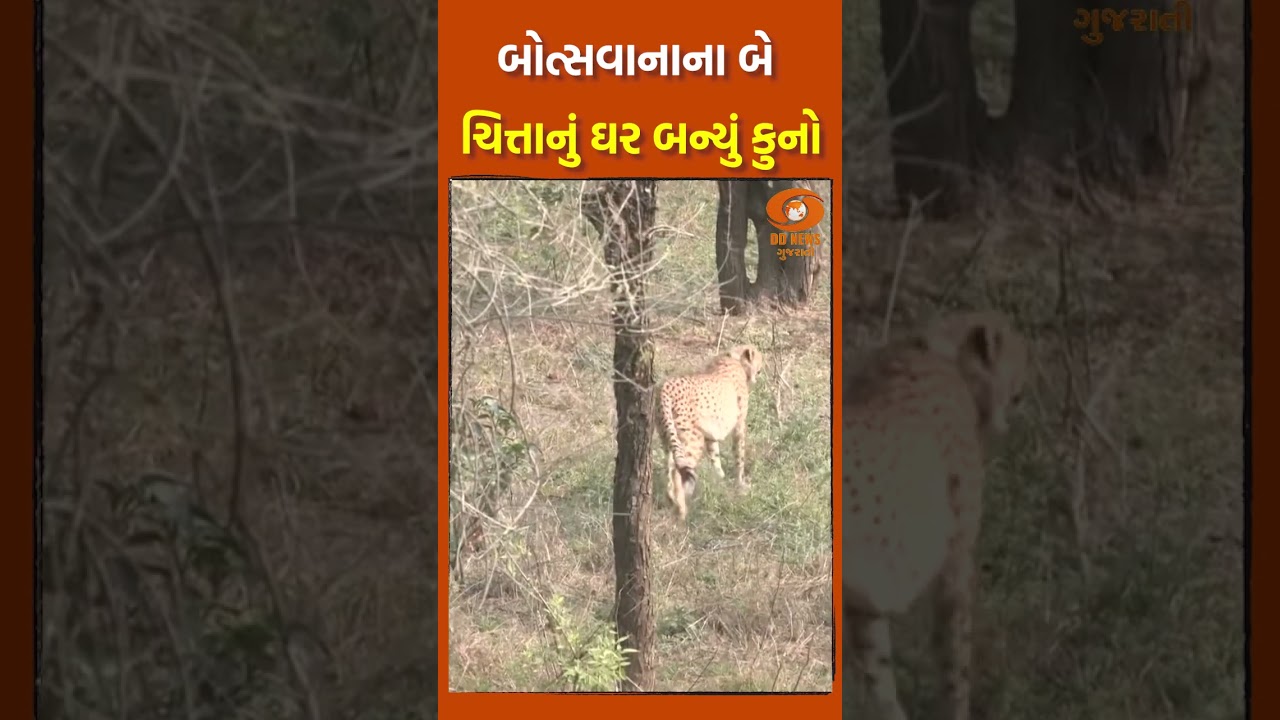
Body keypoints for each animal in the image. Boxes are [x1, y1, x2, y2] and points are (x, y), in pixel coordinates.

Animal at [655, 344, 764, 522]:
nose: (757, 377)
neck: (735, 359)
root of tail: (665, 387)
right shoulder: (739, 426)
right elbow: (739, 456)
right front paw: (740, 484)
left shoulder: (710, 435)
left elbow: (715, 457)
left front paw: (720, 480)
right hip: (692, 439)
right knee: (679, 470)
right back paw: (681, 510)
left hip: (667, 437)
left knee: (669, 467)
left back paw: (670, 499)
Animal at [842, 310, 1028, 720]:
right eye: (1017, 391)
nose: (1012, 418)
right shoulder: (955, 565)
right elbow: (955, 665)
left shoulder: (861, 602)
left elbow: (877, 674)